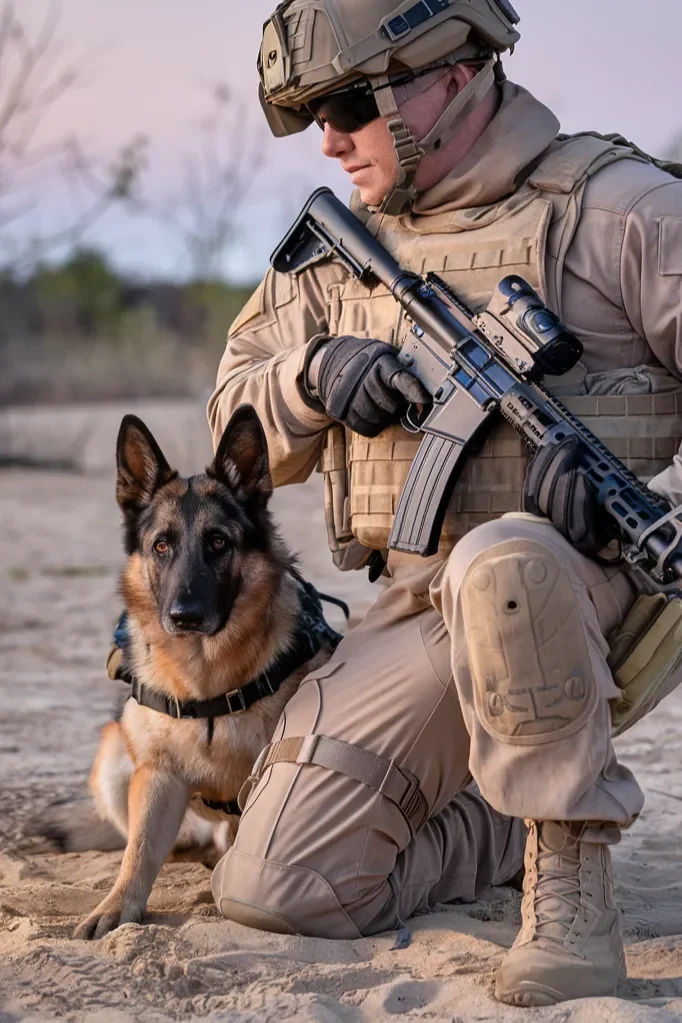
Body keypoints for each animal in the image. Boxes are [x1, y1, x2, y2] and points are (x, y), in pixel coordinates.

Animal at [72, 403, 333, 937]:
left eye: (217, 542)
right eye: (161, 546)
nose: (184, 616)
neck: (207, 679)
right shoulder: (157, 777)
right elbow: (139, 852)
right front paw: (115, 908)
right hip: (114, 757)